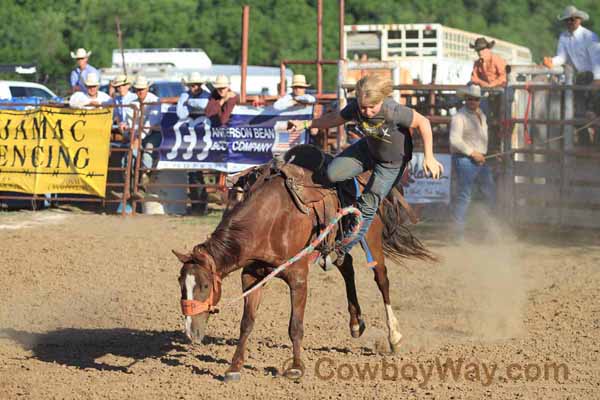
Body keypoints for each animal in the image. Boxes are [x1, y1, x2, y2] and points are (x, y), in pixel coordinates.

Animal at [171, 145, 434, 382]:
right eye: (181, 284)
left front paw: (296, 368)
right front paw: (234, 367)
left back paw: (394, 336)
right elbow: (246, 323)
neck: (271, 220)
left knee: (381, 279)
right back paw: (355, 324)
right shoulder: (251, 277)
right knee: (346, 266)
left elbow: (295, 326)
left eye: (205, 286)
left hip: (370, 236)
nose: (191, 332)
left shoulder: (298, 278)